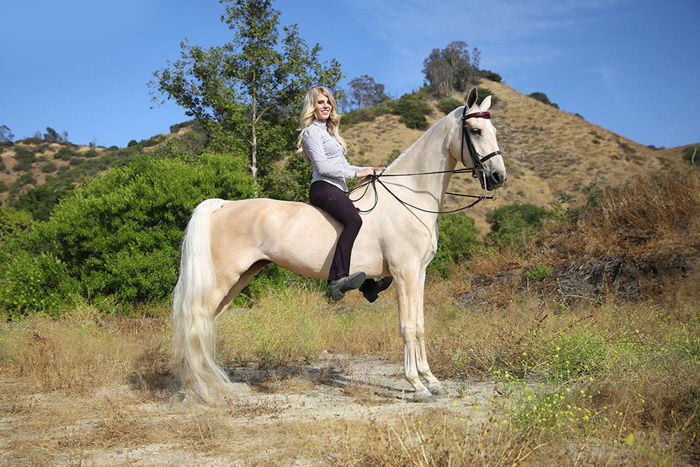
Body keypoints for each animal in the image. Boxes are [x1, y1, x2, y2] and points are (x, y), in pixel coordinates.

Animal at [172, 88, 506, 402]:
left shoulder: (419, 273)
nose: (498, 177)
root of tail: (223, 205)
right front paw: (417, 385)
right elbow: (407, 327)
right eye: (475, 130)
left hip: (240, 278)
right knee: (194, 322)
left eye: (493, 130)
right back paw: (198, 389)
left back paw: (207, 384)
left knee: (205, 324)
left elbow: (421, 325)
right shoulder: (405, 272)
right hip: (222, 279)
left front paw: (432, 381)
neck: (410, 196)